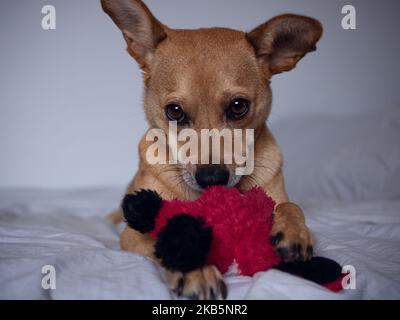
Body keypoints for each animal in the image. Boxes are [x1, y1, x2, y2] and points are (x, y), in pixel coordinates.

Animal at [100, 0, 322, 300]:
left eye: (238, 106)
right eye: (174, 111)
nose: (212, 178)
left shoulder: (277, 196)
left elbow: (291, 205)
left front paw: (294, 231)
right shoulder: (133, 234)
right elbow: (170, 240)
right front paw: (194, 268)